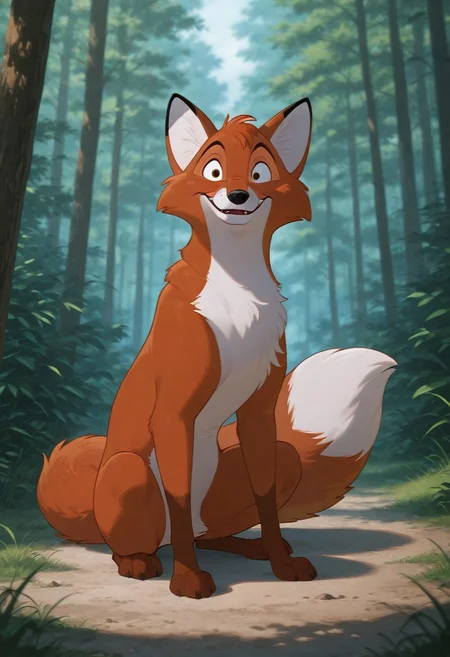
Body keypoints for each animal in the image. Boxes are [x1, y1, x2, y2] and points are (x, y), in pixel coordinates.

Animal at [37, 94, 397, 600]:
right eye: (213, 170)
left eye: (260, 172)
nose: (239, 195)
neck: (238, 298)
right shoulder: (173, 413)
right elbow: (179, 495)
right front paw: (188, 581)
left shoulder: (258, 413)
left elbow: (266, 500)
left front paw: (281, 564)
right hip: (128, 469)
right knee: (147, 540)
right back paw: (140, 561)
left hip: (278, 463)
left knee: (208, 534)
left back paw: (256, 549)